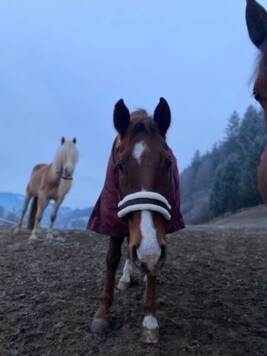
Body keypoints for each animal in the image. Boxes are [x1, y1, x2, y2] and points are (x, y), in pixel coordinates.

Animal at [91, 97, 181, 342]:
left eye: (168, 163)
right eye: (119, 165)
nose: (147, 253)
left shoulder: (160, 227)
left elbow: (155, 261)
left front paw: (149, 317)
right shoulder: (112, 217)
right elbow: (112, 258)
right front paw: (102, 312)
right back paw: (126, 277)